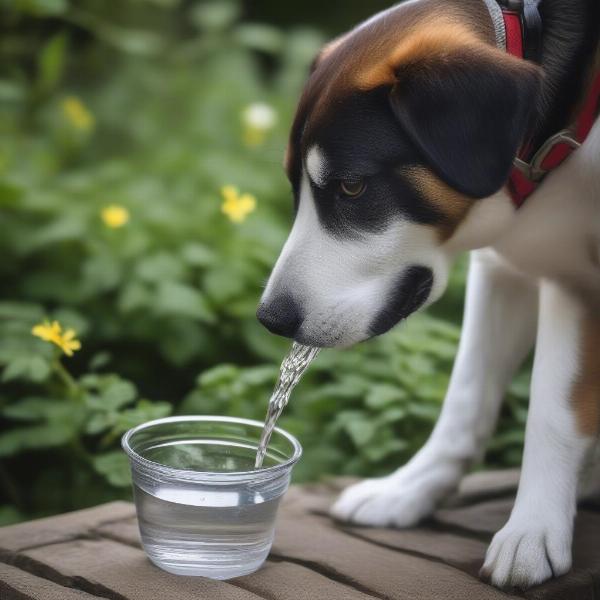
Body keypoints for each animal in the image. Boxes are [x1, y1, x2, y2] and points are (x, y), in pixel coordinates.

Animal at [255, 0, 596, 592]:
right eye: (295, 190)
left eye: (351, 187)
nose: (270, 318)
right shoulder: (504, 267)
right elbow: (466, 400)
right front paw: (409, 490)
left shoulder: (569, 276)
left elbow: (552, 412)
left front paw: (532, 529)